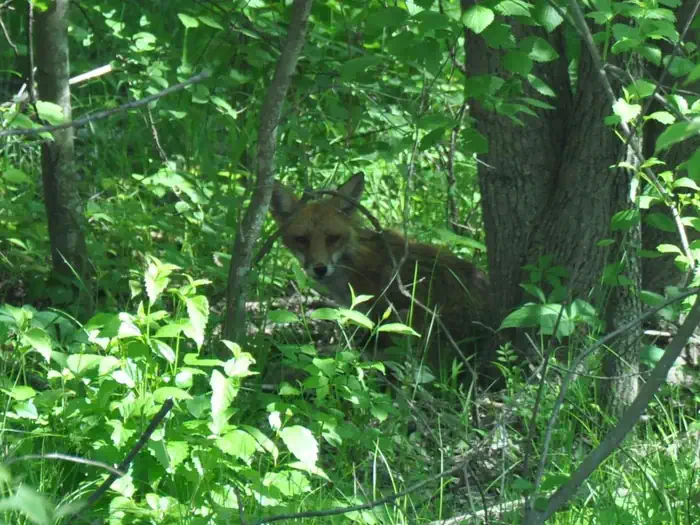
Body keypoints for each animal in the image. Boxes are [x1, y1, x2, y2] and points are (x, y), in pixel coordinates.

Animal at [269, 172, 496, 381]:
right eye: (302, 239)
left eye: (333, 238)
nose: (320, 269)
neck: (351, 261)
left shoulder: (378, 312)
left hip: (404, 321)